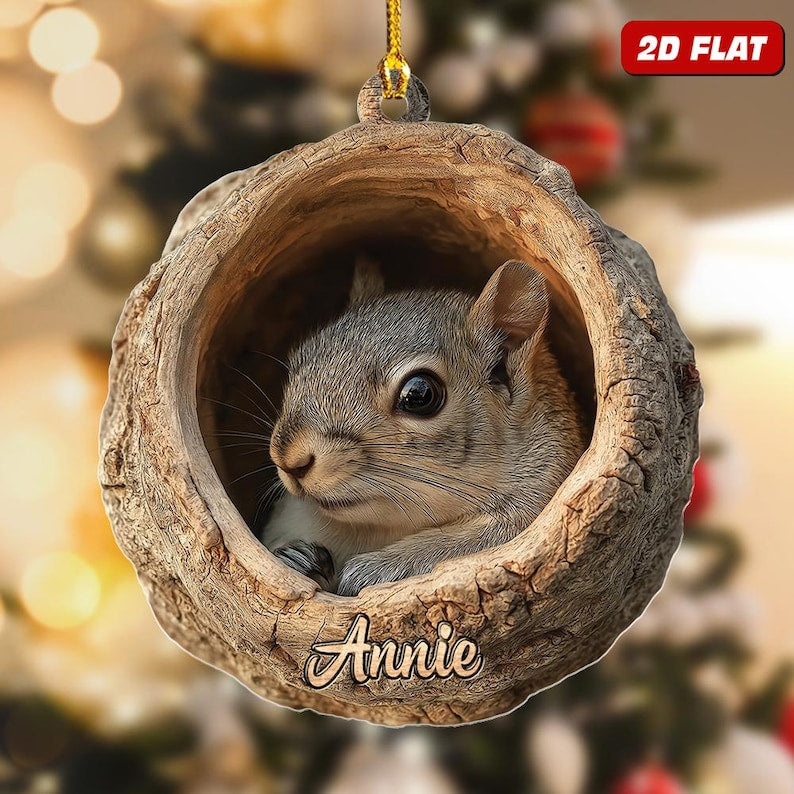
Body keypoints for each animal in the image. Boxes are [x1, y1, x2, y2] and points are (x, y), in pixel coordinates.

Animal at [261, 258, 587, 596]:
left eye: (419, 395)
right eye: (301, 356)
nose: (288, 460)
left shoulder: (536, 504)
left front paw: (373, 570)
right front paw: (297, 558)